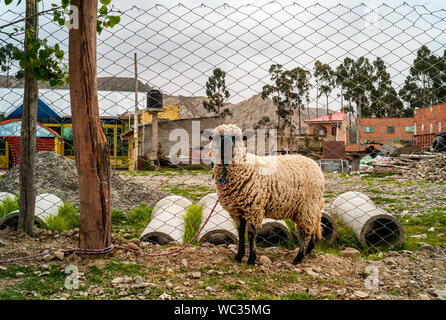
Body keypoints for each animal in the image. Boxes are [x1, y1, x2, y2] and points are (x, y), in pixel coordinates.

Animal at [209, 124, 324, 264]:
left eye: (236, 137)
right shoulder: (237, 211)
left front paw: (251, 259)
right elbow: (241, 233)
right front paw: (239, 256)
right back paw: (307, 251)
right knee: (313, 228)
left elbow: (251, 234)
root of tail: (314, 164)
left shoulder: (254, 208)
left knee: (306, 232)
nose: (226, 149)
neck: (245, 168)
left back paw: (298, 258)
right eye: (217, 137)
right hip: (305, 208)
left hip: (308, 205)